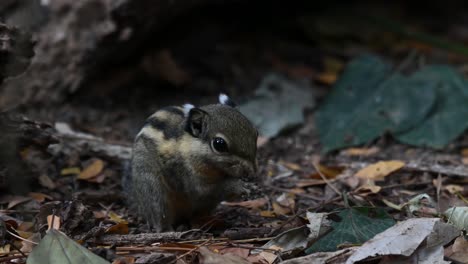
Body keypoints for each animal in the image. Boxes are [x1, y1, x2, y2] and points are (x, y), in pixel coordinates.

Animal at [128, 93, 260, 231]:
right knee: (159, 215)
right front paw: (239, 186)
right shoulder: (188, 176)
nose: (252, 171)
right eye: (219, 144)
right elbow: (206, 189)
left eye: (256, 133)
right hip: (153, 189)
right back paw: (167, 230)